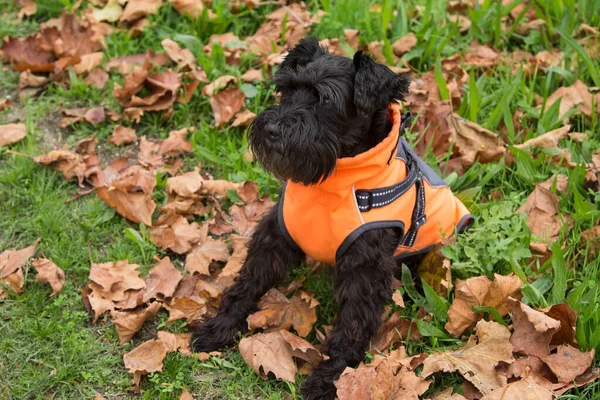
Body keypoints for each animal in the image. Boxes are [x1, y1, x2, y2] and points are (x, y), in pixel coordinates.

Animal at [195, 37, 434, 400]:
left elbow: (352, 326)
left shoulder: (365, 270)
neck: (332, 183)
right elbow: (247, 282)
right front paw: (221, 326)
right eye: (285, 90)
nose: (272, 129)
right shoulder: (277, 235)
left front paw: (330, 379)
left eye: (326, 100)